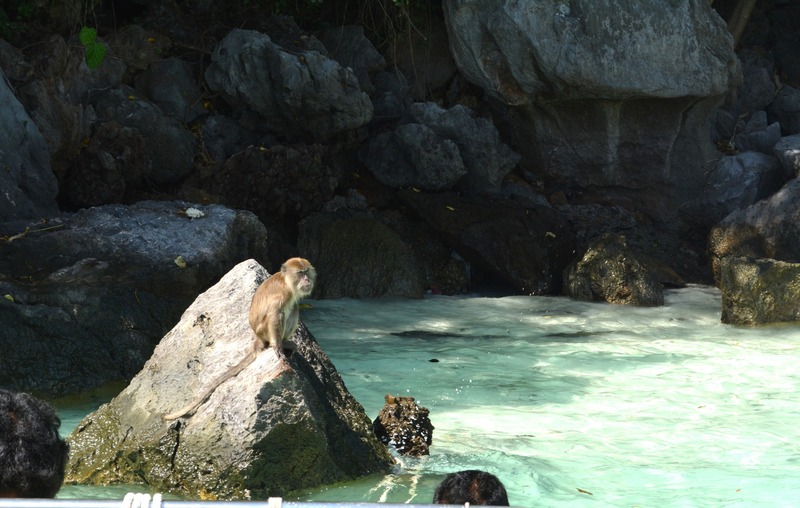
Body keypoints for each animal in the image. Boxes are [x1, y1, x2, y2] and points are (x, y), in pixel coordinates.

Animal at [164, 258, 318, 420]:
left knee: (295, 307)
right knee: (282, 313)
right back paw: (281, 343)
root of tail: (258, 337)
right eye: (300, 273)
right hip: (263, 331)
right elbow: (274, 314)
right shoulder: (282, 295)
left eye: (307, 272)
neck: (287, 283)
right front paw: (277, 346)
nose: (307, 279)